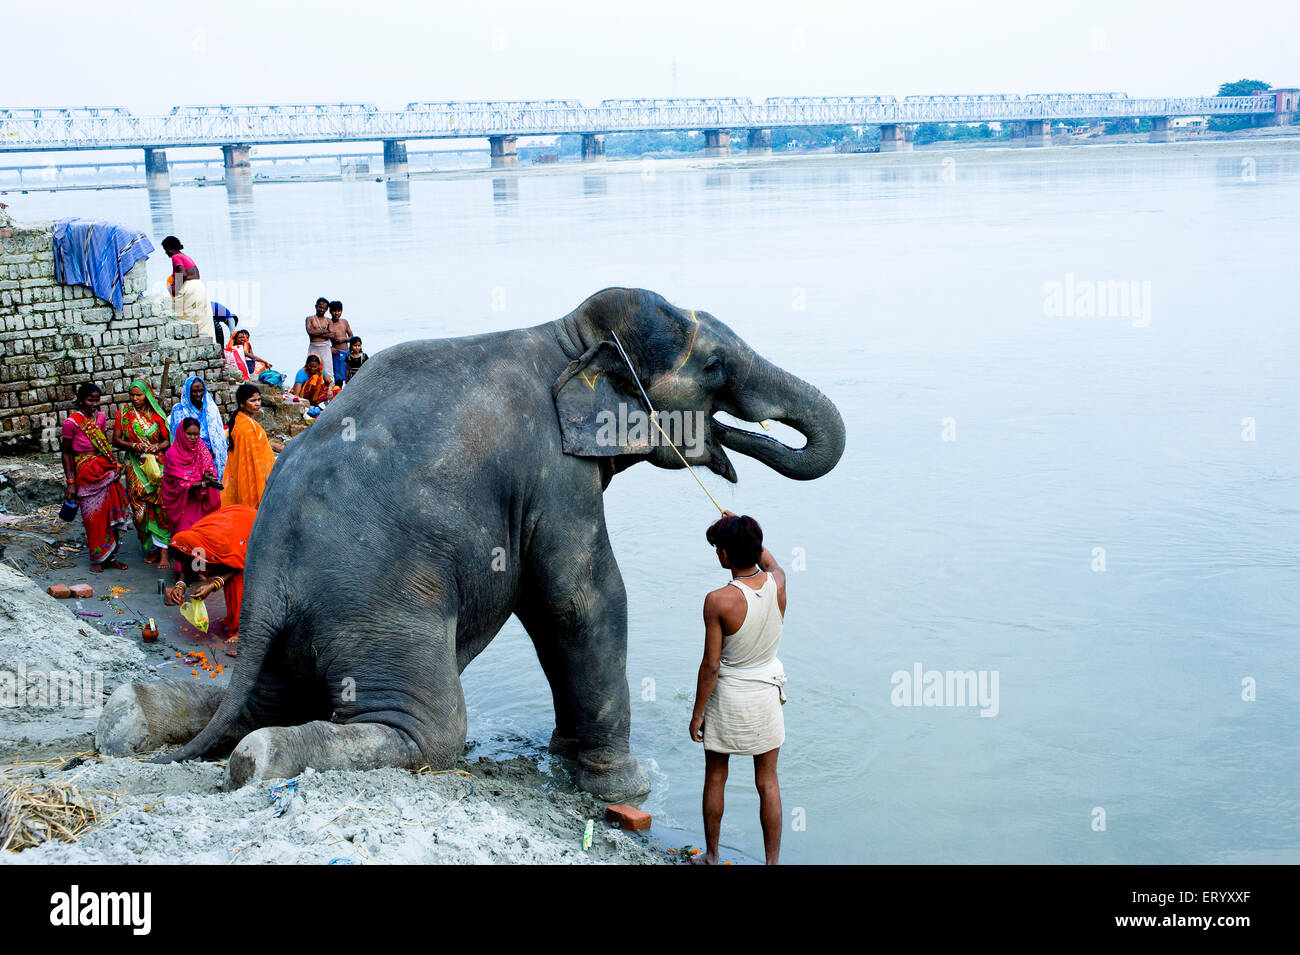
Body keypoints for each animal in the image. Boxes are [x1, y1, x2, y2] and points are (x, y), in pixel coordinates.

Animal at [104, 287, 852, 805]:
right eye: (716, 366)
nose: (733, 518)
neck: (565, 335)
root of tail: (267, 585)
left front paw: (564, 754)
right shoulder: (553, 471)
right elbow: (581, 598)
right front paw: (624, 788)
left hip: (299, 635)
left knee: (260, 703)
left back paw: (130, 717)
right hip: (381, 615)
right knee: (431, 729)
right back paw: (256, 760)